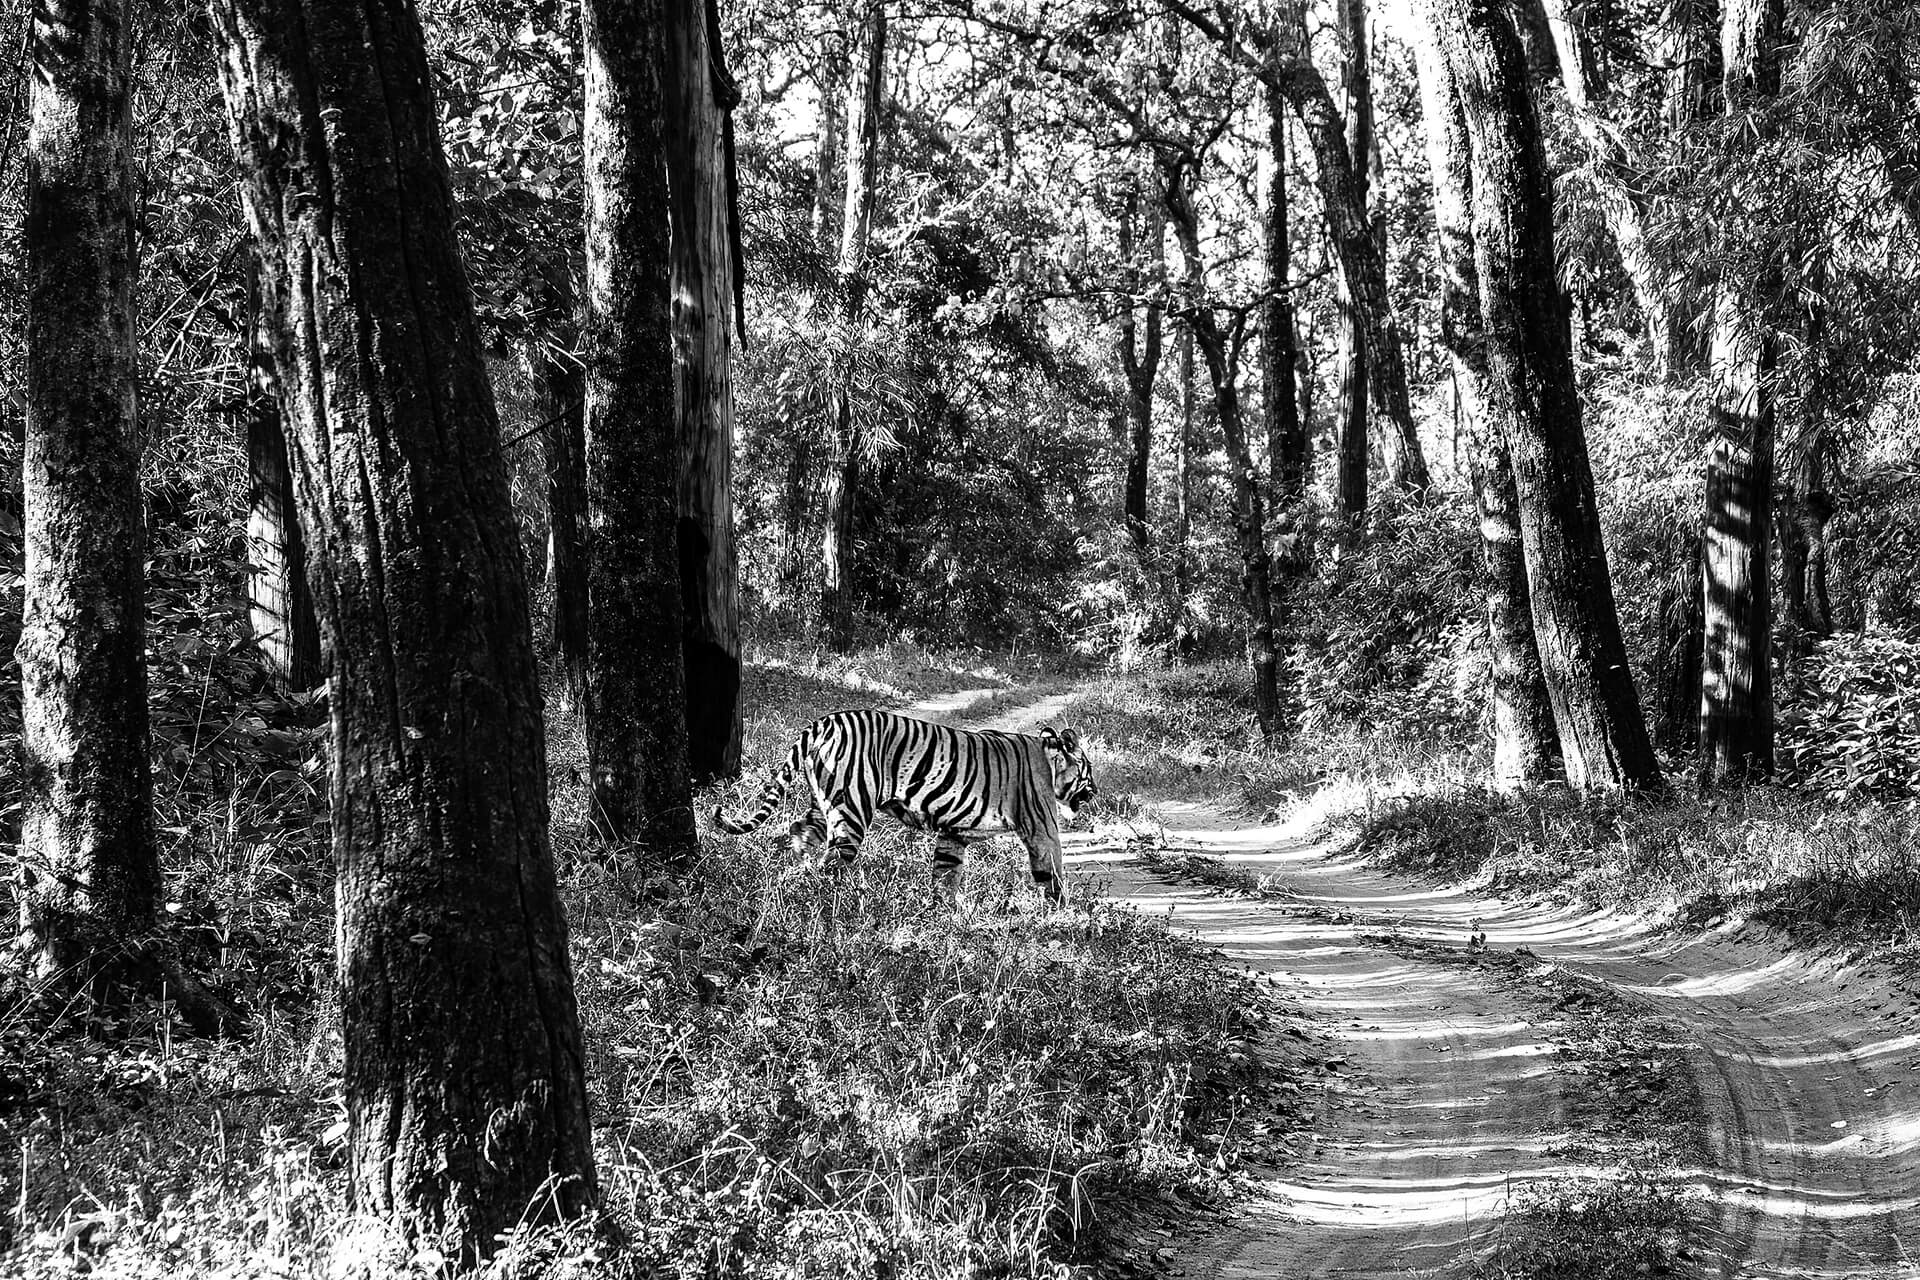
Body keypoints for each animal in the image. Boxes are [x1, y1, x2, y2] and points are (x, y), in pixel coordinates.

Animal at [712, 709, 1098, 907]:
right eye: (1089, 770)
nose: (1095, 792)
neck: (1049, 760)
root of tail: (823, 722)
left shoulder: (953, 832)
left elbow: (946, 873)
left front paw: (945, 911)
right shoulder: (1042, 828)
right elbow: (1053, 871)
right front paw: (1065, 913)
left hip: (822, 802)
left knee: (798, 829)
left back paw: (795, 874)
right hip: (851, 809)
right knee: (834, 859)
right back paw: (833, 898)